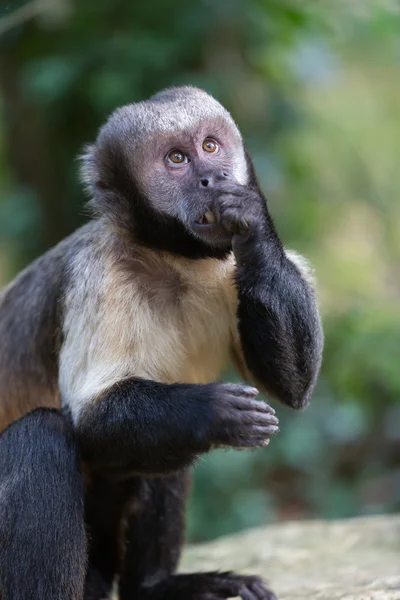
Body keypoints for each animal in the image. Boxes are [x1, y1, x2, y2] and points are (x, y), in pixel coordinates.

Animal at [0, 85, 324, 600]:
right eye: (177, 159)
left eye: (210, 147)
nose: (212, 178)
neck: (172, 258)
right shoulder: (98, 272)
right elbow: (90, 420)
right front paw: (215, 411)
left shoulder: (228, 264)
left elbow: (291, 387)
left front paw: (251, 216)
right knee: (43, 436)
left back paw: (155, 587)